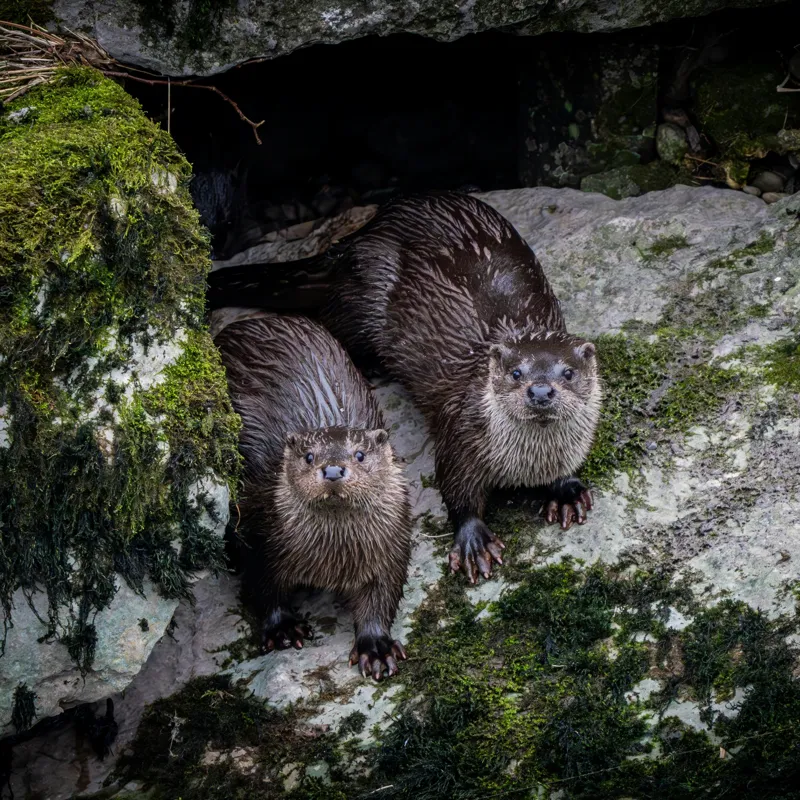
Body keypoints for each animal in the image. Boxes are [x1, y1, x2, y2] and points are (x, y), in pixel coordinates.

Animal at [208, 191, 602, 585]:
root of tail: (366, 232)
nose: (540, 391)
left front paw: (567, 489)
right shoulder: (462, 433)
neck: (529, 461)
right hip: (366, 296)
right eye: (516, 372)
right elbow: (456, 487)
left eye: (568, 373)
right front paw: (473, 541)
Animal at [214, 312, 412, 680]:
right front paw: (282, 628)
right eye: (309, 456)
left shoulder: (392, 545)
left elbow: (382, 595)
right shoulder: (263, 532)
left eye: (360, 454)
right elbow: (262, 585)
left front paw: (376, 647)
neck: (332, 560)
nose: (333, 470)